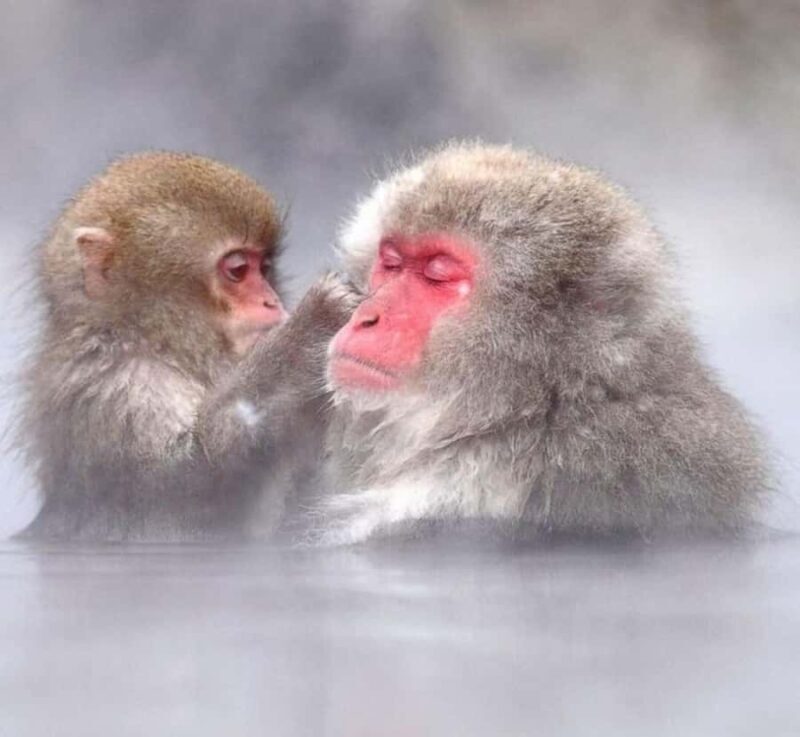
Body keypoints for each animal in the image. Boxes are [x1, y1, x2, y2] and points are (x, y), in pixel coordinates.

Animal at [19, 151, 355, 541]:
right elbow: (186, 484)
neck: (156, 343)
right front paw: (310, 329)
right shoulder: (117, 389)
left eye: (265, 267)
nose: (272, 301)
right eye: (238, 269)